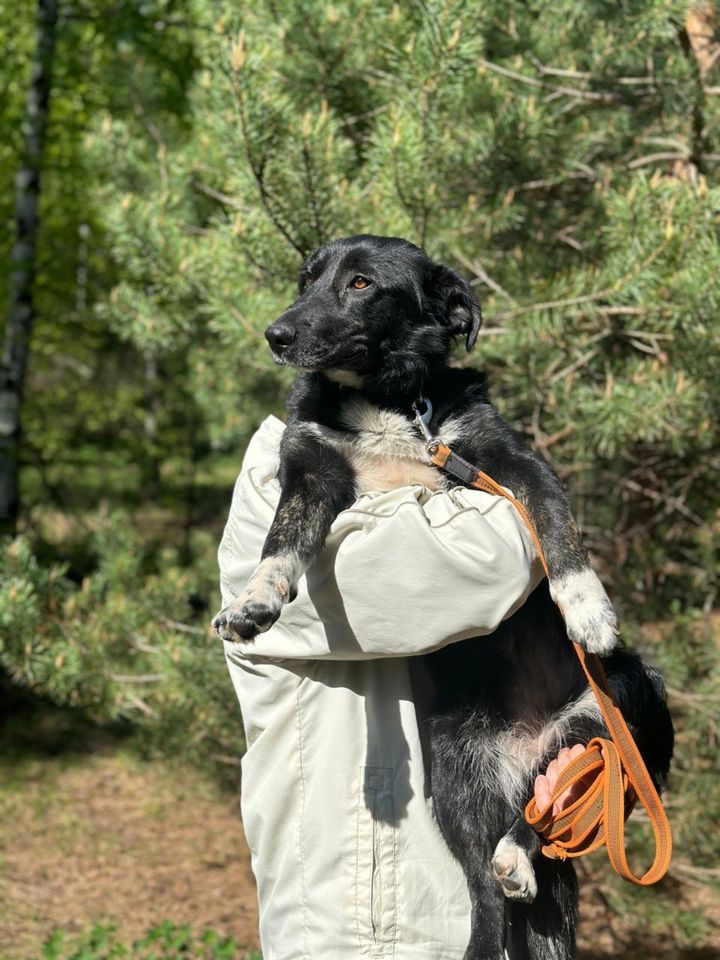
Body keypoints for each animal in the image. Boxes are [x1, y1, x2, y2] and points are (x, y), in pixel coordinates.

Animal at [212, 236, 668, 960]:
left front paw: (585, 606)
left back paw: (522, 849)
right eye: (306, 279)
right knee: (486, 888)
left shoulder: (510, 462)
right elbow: (280, 540)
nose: (275, 334)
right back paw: (503, 880)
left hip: (624, 711)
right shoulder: (311, 471)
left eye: (361, 283)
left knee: (543, 818)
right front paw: (254, 601)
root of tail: (530, 749)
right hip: (454, 778)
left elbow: (556, 526)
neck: (390, 403)